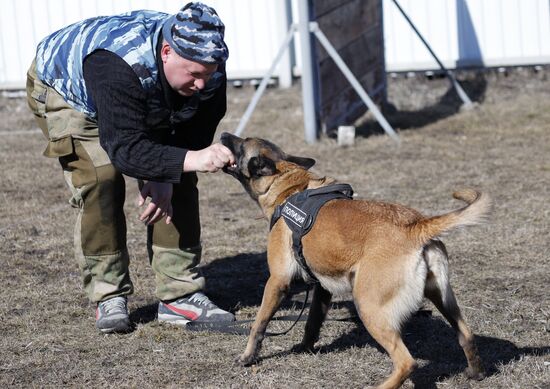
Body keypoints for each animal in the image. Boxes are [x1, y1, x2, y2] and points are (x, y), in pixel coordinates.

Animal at [220, 132, 488, 386]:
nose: (223, 134)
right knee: (467, 336)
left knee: (407, 363)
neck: (286, 185)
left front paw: (247, 357)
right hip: (442, 298)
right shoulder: (322, 287)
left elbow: (258, 324)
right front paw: (305, 348)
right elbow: (312, 322)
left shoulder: (277, 281)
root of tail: (417, 226)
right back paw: (475, 373)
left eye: (242, 143)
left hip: (369, 307)